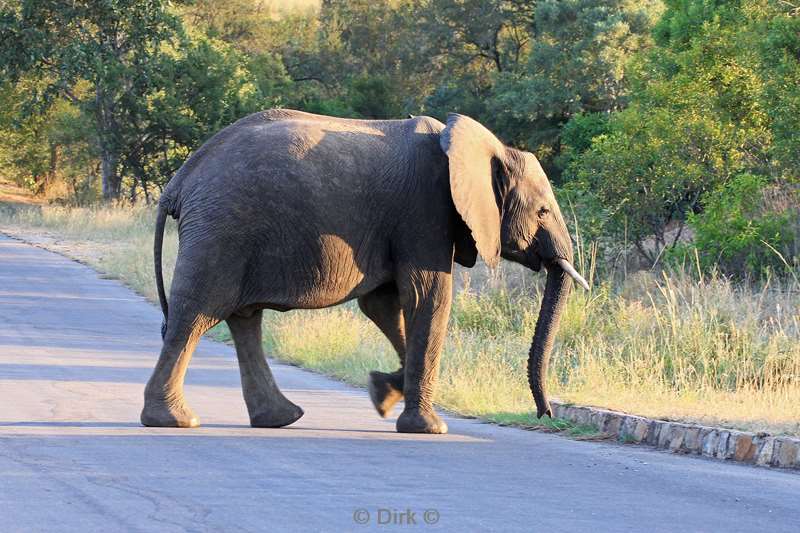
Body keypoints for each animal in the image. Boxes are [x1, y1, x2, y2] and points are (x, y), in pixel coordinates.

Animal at [139, 108, 588, 432]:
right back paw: (175, 421)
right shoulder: (424, 210)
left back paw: (280, 419)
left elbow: (384, 306)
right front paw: (429, 428)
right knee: (196, 315)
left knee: (243, 319)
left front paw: (381, 394)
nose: (546, 413)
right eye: (542, 211)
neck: (486, 146)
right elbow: (428, 297)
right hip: (222, 229)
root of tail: (179, 181)